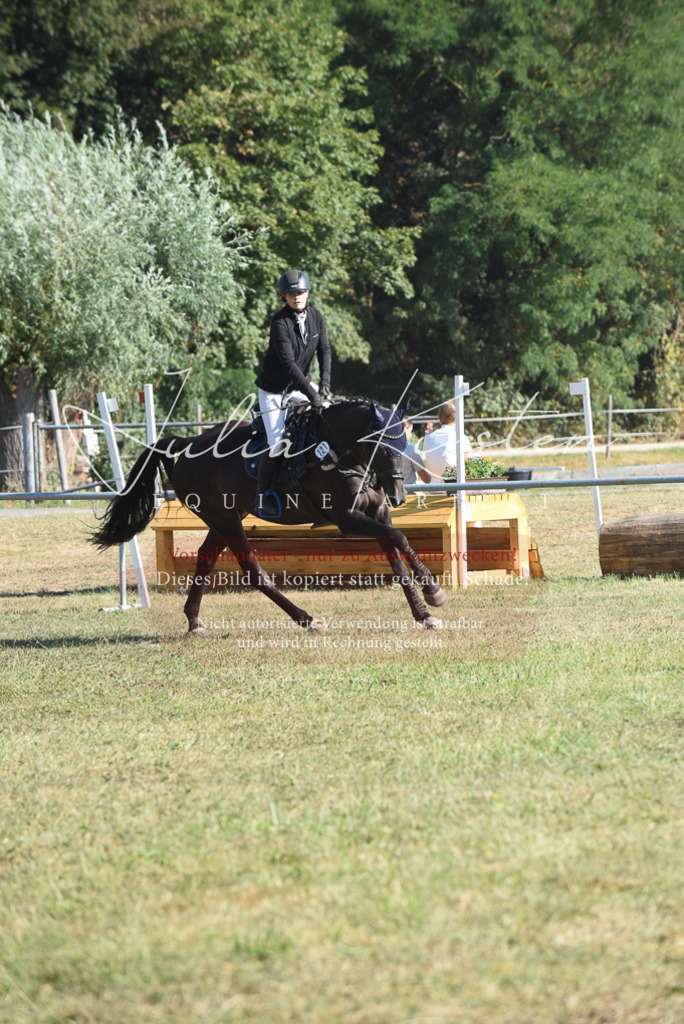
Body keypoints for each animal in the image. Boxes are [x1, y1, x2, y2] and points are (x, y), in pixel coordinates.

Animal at [90, 398, 447, 634]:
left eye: (404, 442)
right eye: (383, 446)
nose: (399, 496)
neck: (342, 452)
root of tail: (190, 442)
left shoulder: (377, 513)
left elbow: (396, 555)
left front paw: (424, 612)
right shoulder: (347, 517)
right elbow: (399, 538)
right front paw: (434, 591)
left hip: (223, 520)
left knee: (205, 559)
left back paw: (193, 621)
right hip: (226, 520)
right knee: (252, 571)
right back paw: (306, 619)